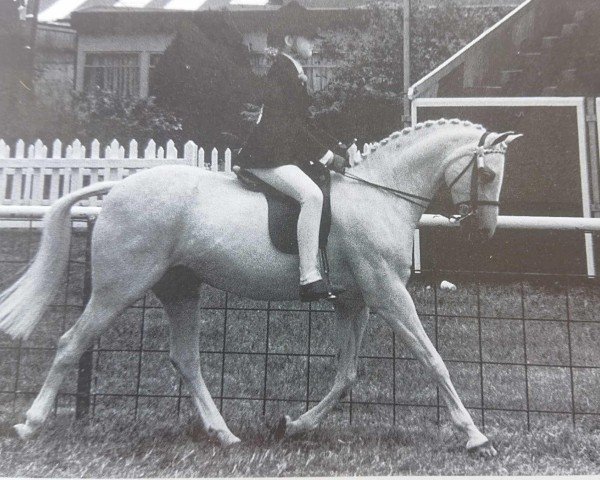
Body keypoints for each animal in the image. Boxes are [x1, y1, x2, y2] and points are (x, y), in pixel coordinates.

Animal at [0, 119, 520, 454]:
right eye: (486, 173)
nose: (485, 232)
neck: (378, 196)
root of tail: (117, 191)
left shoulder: (355, 302)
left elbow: (347, 375)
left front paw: (294, 425)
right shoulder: (388, 294)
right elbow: (432, 359)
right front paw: (475, 437)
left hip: (180, 289)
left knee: (185, 359)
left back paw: (224, 434)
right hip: (118, 287)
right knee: (71, 342)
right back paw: (30, 425)